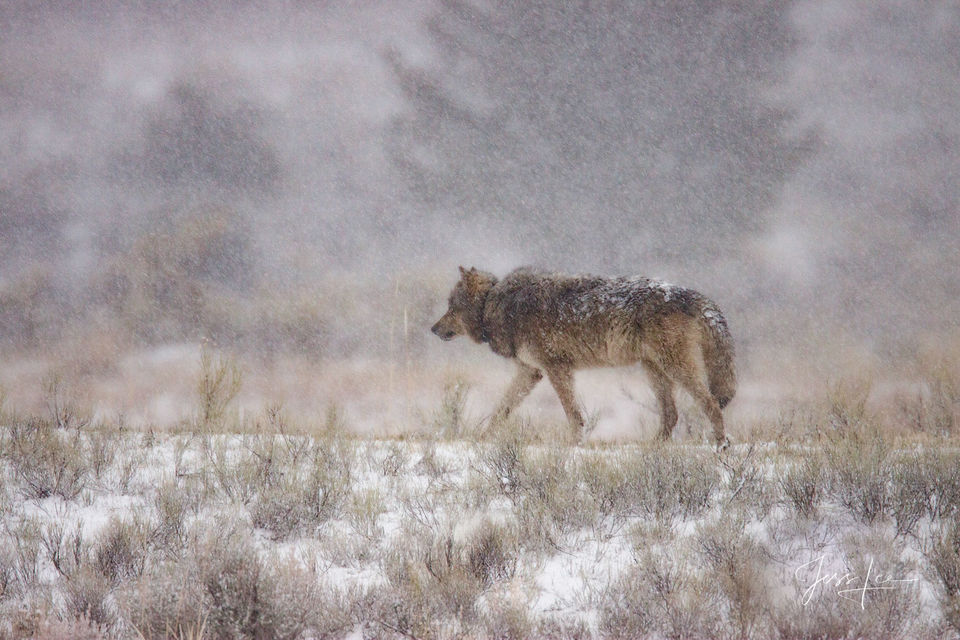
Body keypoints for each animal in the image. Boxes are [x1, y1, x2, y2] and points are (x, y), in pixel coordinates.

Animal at [432, 264, 740, 444]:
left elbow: (573, 415)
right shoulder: (532, 372)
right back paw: (653, 449)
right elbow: (501, 409)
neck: (496, 302)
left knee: (711, 405)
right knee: (672, 415)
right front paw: (482, 437)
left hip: (675, 369)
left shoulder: (557, 369)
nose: (433, 329)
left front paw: (574, 446)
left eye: (450, 307)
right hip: (654, 371)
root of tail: (696, 296)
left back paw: (721, 445)